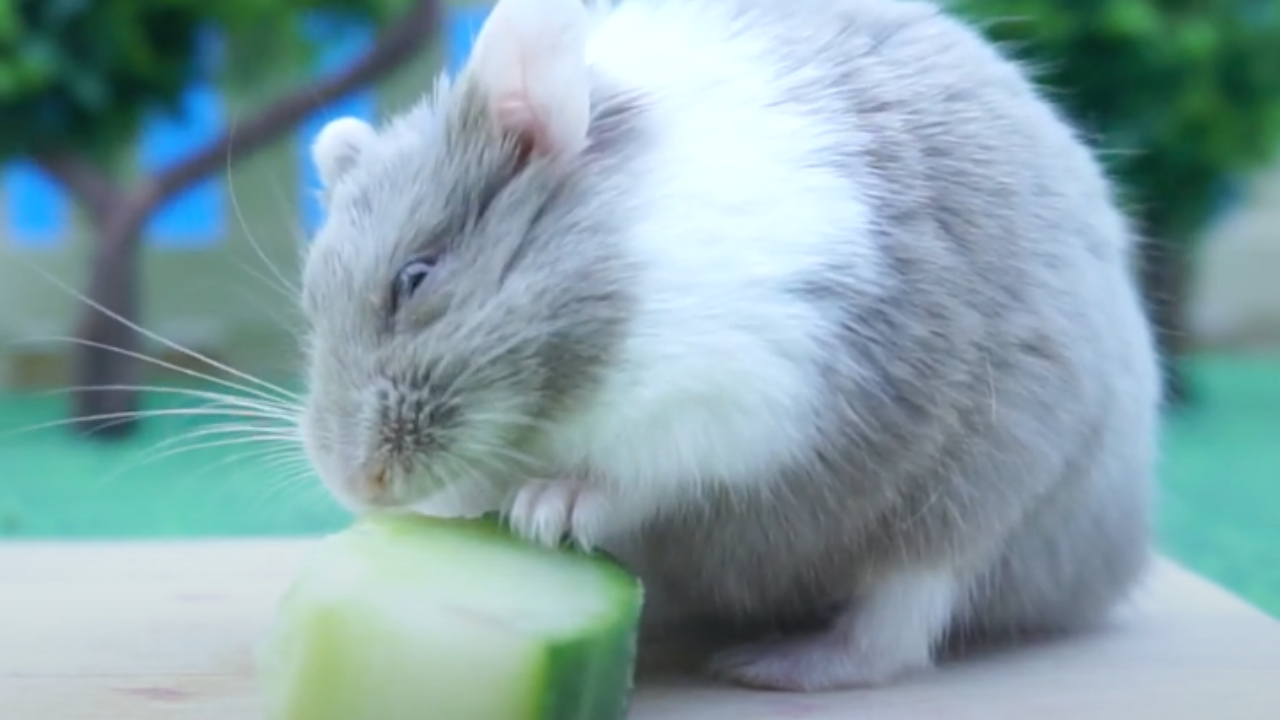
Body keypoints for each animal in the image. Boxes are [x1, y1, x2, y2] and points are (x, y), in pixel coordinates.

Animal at [296, 0, 1161, 692]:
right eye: (312, 303)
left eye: (415, 277)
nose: (357, 487)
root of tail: (1112, 565)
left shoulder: (732, 400)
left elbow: (641, 477)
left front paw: (547, 510)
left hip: (977, 500)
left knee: (898, 626)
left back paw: (774, 665)